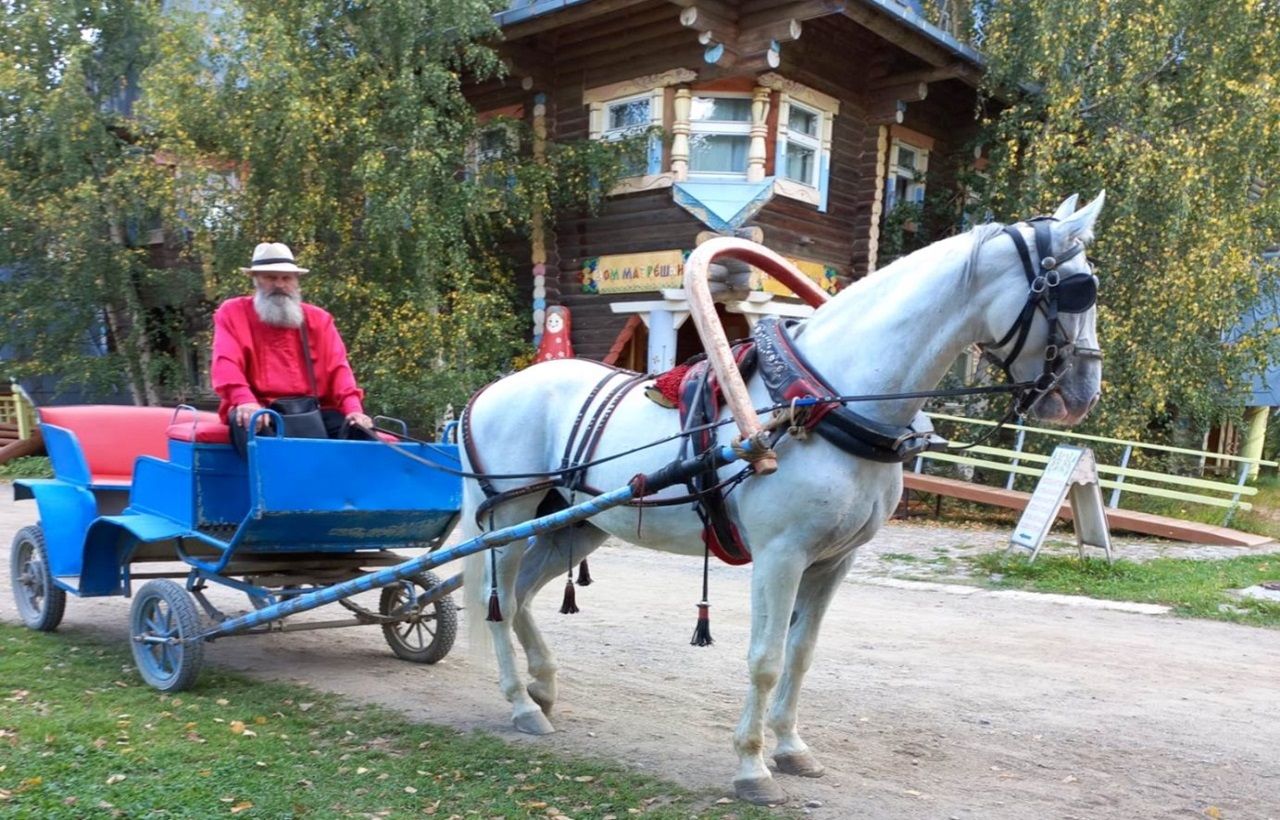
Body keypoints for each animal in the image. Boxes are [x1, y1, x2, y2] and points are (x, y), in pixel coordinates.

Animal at [465, 190, 1105, 798]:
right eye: (1079, 289)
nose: (1082, 395)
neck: (823, 403)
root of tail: (491, 391)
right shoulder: (781, 557)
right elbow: (766, 659)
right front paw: (752, 767)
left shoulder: (833, 562)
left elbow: (801, 655)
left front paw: (791, 747)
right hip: (509, 520)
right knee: (499, 603)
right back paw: (519, 701)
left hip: (573, 527)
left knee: (518, 598)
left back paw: (542, 686)